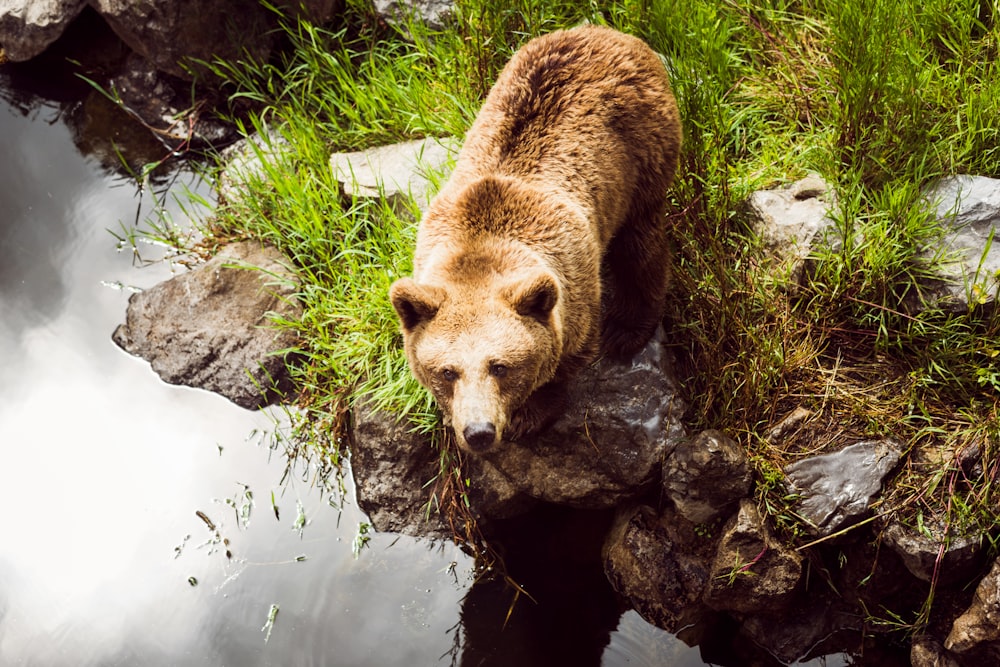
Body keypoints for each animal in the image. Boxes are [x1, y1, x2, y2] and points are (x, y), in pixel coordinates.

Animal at [388, 26, 680, 454]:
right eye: (447, 371)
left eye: (500, 366)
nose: (478, 432)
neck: (481, 245)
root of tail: (606, 31)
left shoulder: (573, 283)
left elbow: (568, 355)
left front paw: (530, 414)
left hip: (642, 153)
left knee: (639, 244)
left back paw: (626, 329)